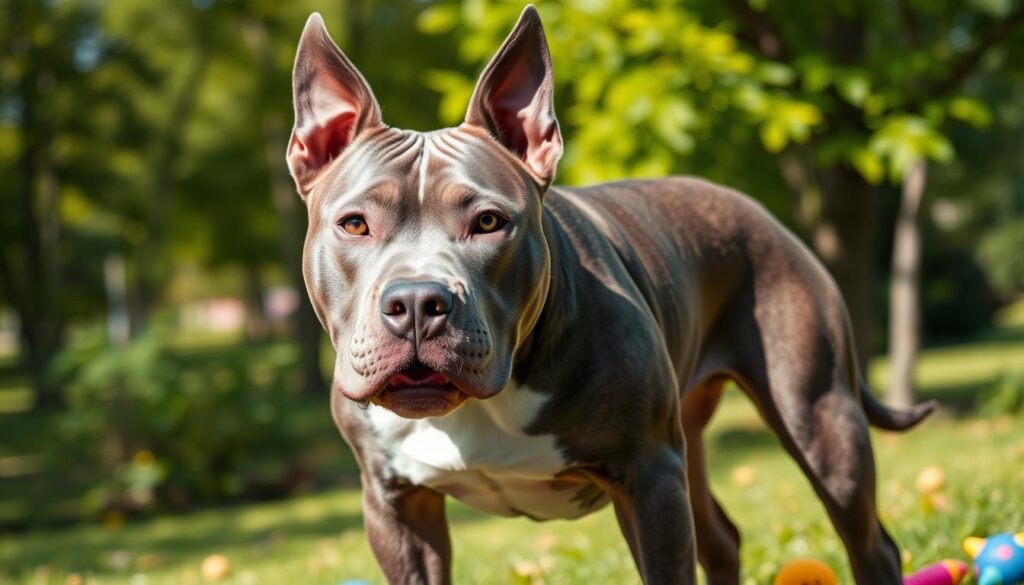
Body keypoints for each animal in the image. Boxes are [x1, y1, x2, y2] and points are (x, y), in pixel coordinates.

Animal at [286, 5, 937, 585]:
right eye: (355, 225)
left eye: (489, 222)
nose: (418, 302)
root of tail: (764, 216)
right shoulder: (397, 508)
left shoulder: (650, 479)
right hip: (693, 442)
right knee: (723, 539)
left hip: (820, 419)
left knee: (869, 541)